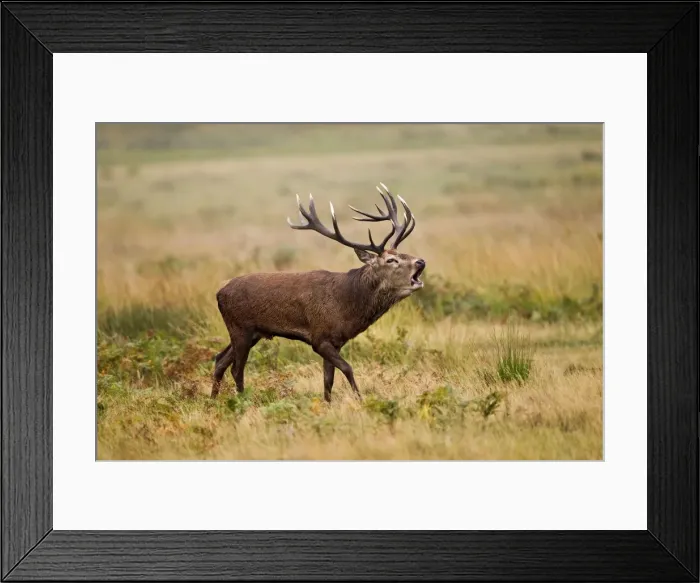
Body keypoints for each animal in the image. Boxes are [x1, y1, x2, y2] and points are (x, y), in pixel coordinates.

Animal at [211, 182, 426, 403]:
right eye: (391, 260)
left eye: (403, 253)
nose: (421, 262)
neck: (348, 306)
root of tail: (219, 293)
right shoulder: (319, 338)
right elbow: (347, 368)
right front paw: (360, 400)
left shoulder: (336, 342)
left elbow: (328, 379)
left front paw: (327, 404)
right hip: (240, 328)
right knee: (236, 369)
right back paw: (241, 401)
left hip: (251, 333)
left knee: (220, 360)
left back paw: (212, 401)